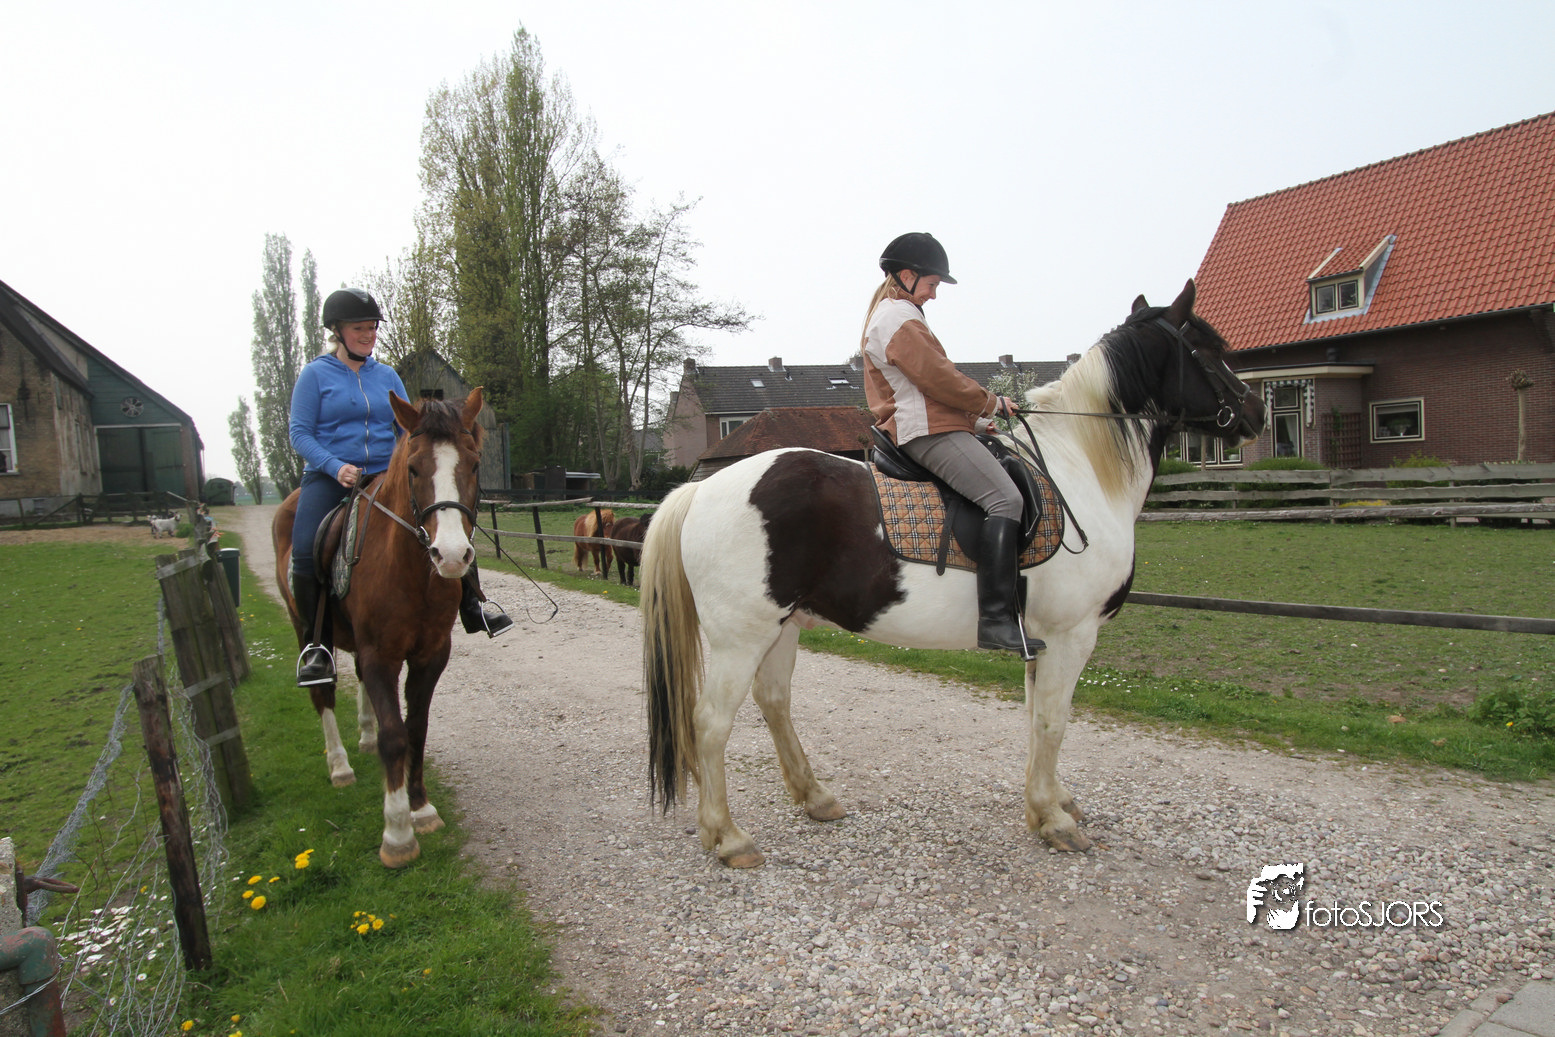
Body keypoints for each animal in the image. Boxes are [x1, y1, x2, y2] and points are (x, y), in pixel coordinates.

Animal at [272, 389, 486, 868]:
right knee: (323, 694)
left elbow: (416, 728)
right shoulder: (379, 655)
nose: (450, 555)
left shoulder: (431, 655)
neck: (411, 571)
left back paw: (364, 738)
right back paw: (340, 766)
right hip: (307, 630)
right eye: (414, 468)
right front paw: (398, 833)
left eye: (474, 464)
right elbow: (395, 736)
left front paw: (421, 808)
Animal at [641, 281, 1266, 867]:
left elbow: (1038, 718)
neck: (1079, 470)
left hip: (783, 626)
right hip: (740, 636)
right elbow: (1054, 722)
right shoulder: (1072, 634)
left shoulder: (1042, 638)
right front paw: (1053, 821)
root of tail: (702, 490)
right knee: (711, 722)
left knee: (773, 702)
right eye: (1210, 349)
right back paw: (728, 837)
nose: (1256, 412)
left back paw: (815, 797)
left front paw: (1052, 801)